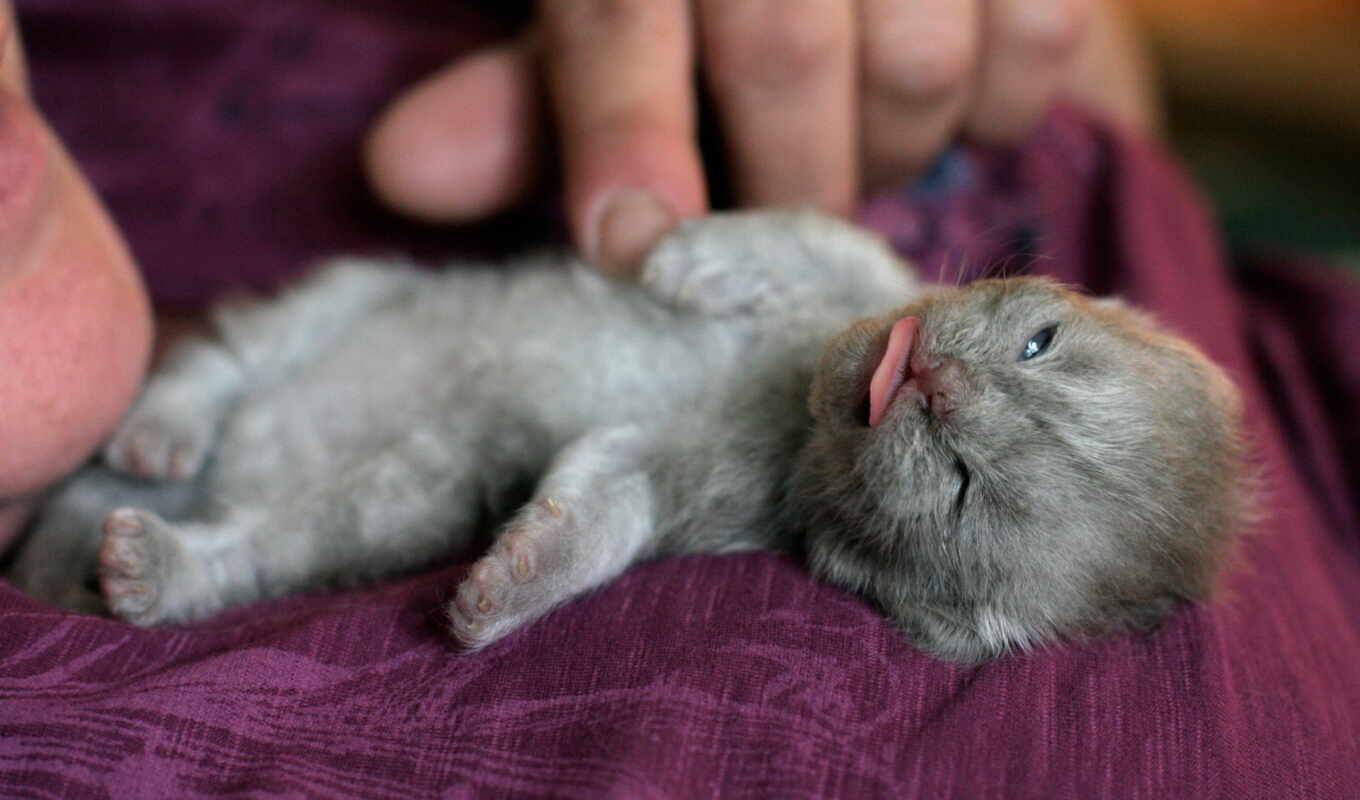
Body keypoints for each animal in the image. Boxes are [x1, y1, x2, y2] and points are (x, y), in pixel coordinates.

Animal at [5, 210, 1245, 661]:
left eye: (960, 483)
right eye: (1038, 339)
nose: (928, 375)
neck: (793, 400)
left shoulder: (698, 491)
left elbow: (605, 507)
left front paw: (510, 578)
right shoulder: (864, 272)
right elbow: (805, 234)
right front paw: (689, 256)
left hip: (400, 495)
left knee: (269, 540)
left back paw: (155, 561)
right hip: (355, 289)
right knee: (226, 361)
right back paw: (164, 428)